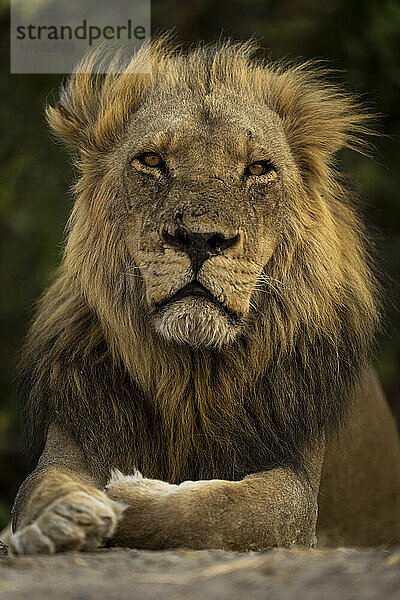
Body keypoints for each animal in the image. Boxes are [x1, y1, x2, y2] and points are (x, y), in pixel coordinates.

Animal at [9, 36, 400, 552]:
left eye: (258, 168)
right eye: (152, 161)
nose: (199, 239)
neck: (191, 376)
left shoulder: (299, 488)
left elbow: (224, 510)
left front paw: (128, 491)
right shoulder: (76, 435)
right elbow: (41, 485)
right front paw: (62, 517)